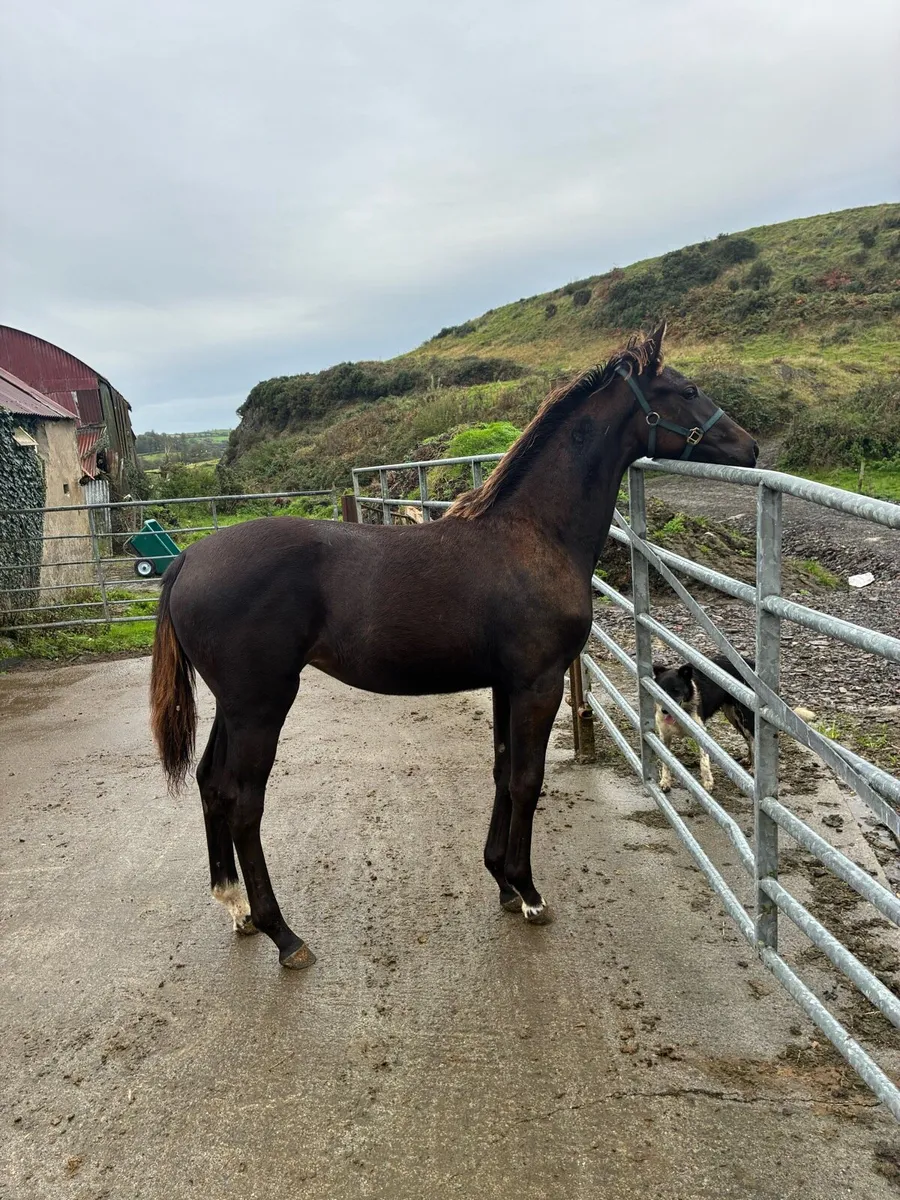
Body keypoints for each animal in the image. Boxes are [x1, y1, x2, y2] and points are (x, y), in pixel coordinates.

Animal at [150, 324, 758, 969]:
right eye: (687, 390)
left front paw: (503, 882)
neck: (534, 534)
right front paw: (530, 892)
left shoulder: (506, 683)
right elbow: (527, 779)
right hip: (261, 705)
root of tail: (189, 559)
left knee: (210, 783)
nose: (751, 448)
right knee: (243, 801)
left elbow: (502, 770)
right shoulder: (539, 683)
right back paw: (283, 934)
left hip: (234, 706)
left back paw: (235, 907)